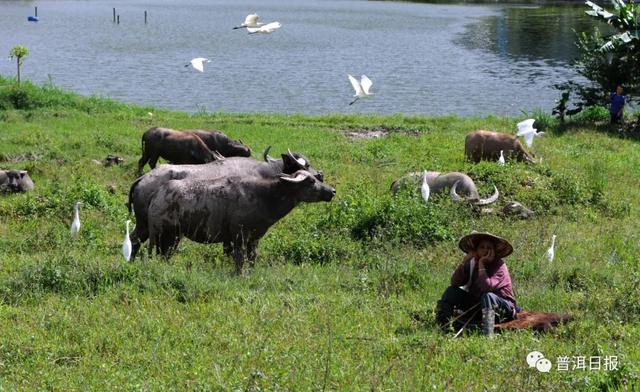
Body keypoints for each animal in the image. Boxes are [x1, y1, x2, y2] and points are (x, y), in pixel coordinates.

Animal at [127, 149, 322, 262]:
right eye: (306, 164)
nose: (320, 175)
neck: (262, 174)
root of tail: (142, 179)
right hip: (150, 226)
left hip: (145, 225)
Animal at [145, 168, 336, 272]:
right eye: (310, 181)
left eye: (316, 178)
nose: (332, 191)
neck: (265, 197)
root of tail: (157, 194)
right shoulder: (239, 237)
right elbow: (240, 259)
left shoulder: (254, 238)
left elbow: (252, 258)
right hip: (164, 235)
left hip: (173, 237)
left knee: (164, 255)